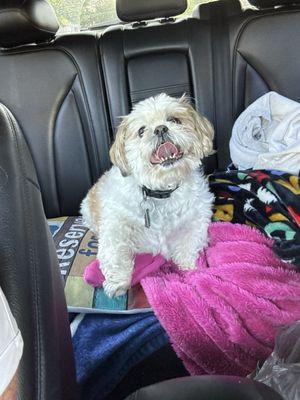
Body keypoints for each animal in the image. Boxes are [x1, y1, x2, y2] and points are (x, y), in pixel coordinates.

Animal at [81, 94, 214, 296]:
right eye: (141, 130)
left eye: (174, 120)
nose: (160, 129)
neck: (161, 191)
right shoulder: (116, 225)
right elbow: (115, 252)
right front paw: (118, 283)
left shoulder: (195, 220)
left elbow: (188, 244)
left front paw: (188, 268)